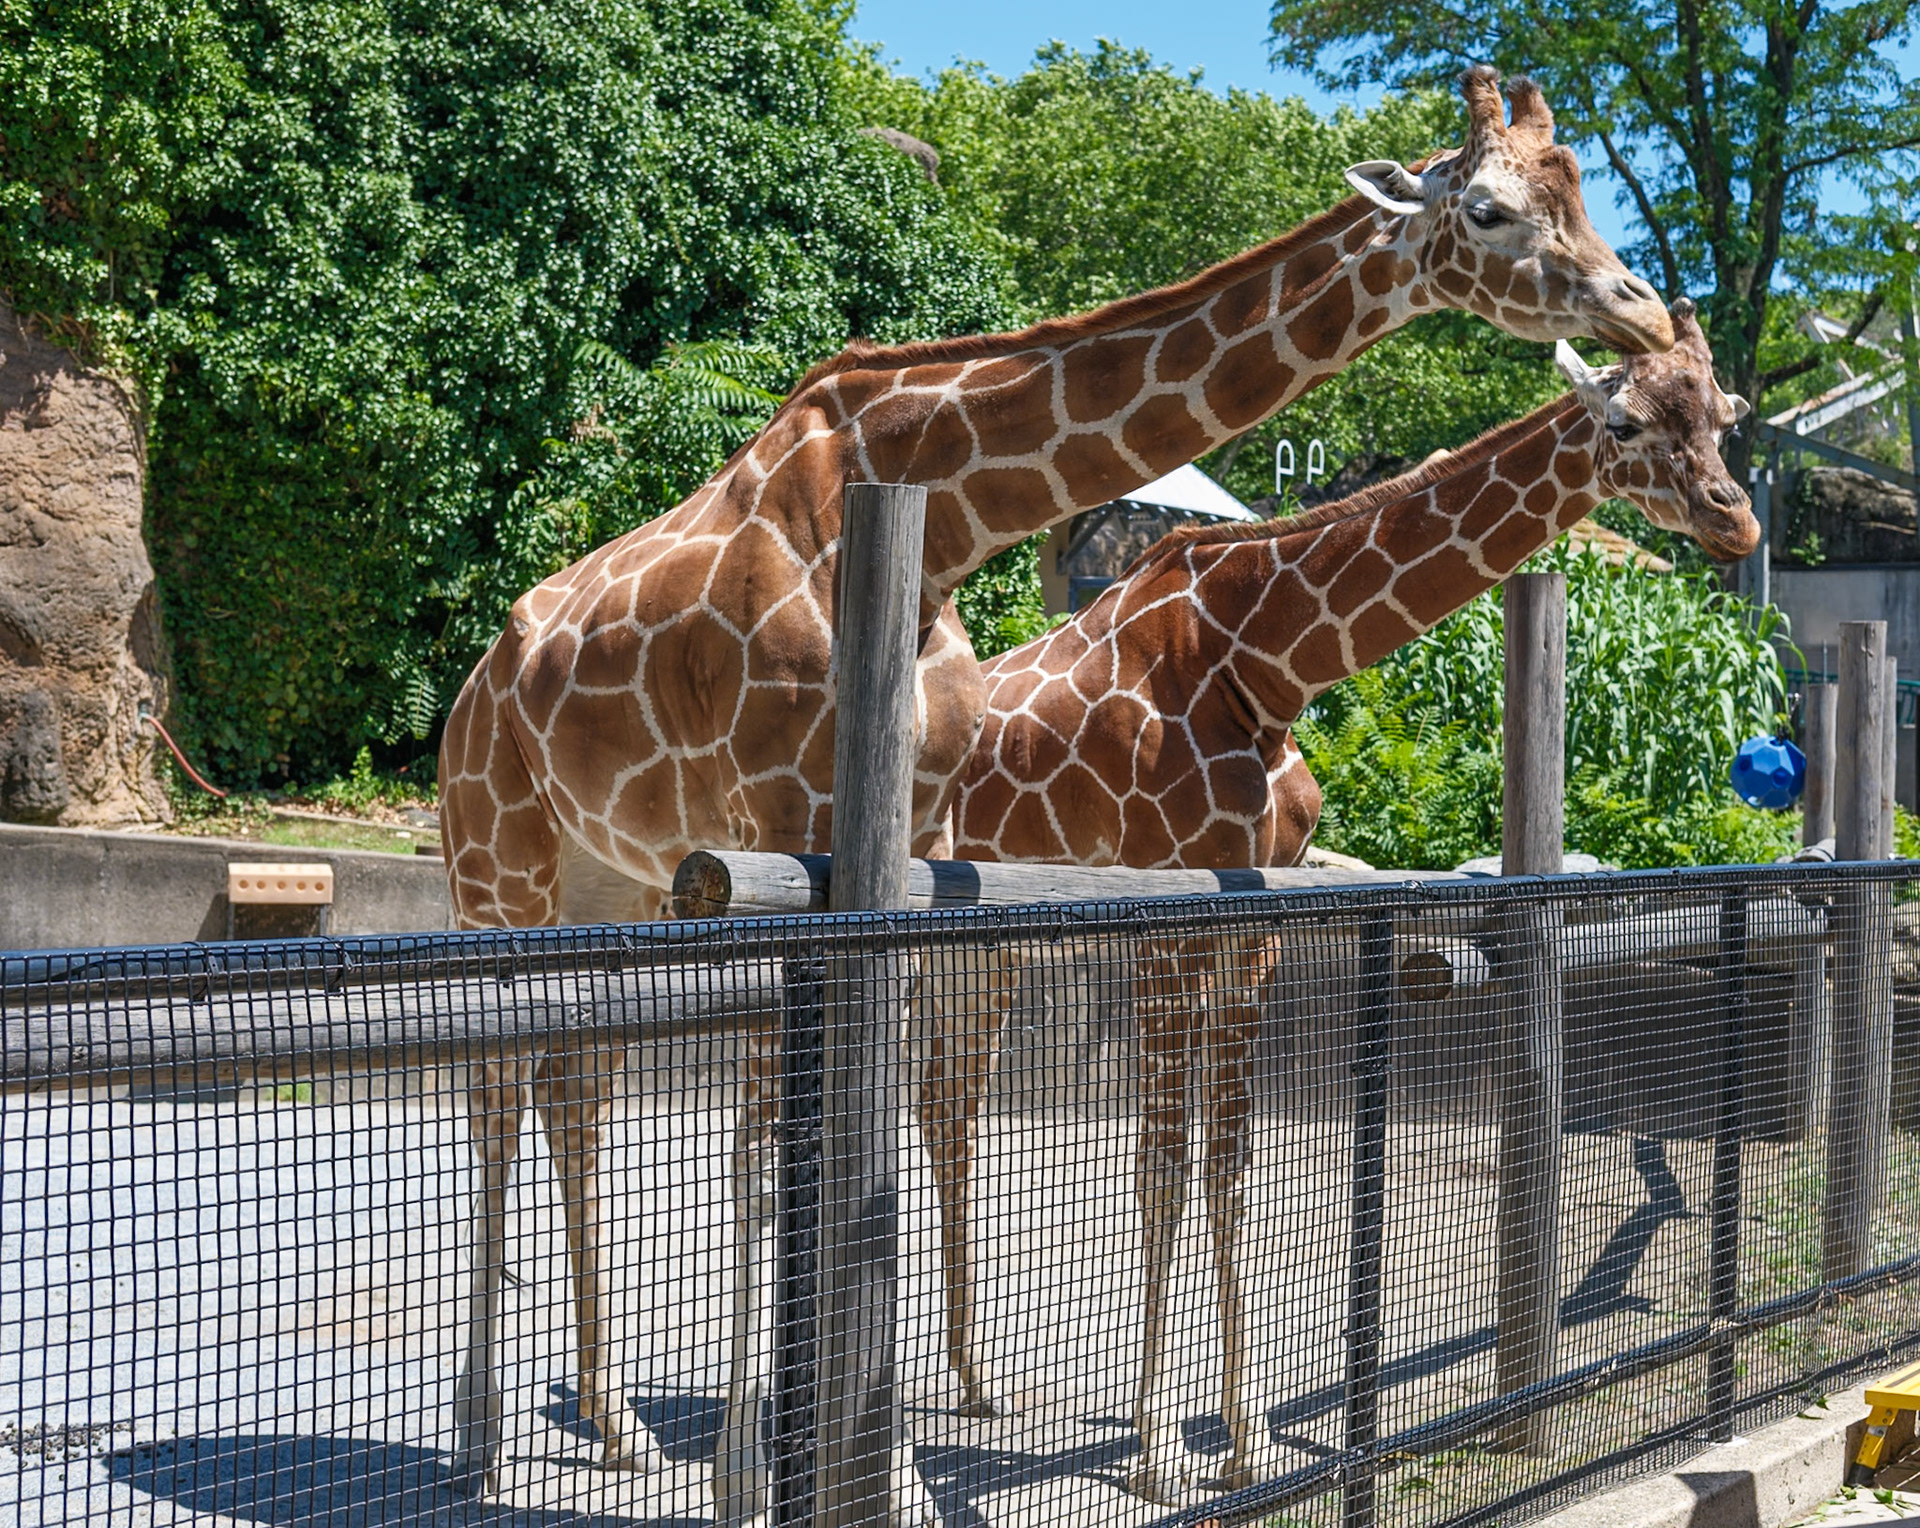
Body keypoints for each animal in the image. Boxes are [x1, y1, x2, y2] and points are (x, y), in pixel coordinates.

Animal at [948, 299, 1756, 1500]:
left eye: (1722, 416)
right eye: (1623, 422)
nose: (1734, 519)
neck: (1257, 663)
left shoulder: (1255, 926)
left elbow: (1228, 1170)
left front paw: (1236, 1444)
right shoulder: (1162, 917)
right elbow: (1160, 1167)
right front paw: (1154, 1454)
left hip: (973, 945)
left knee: (940, 1106)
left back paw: (967, 1385)